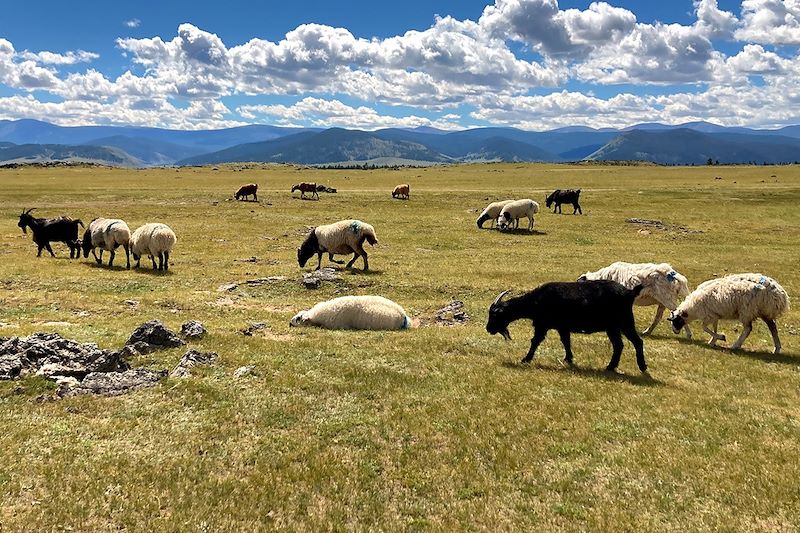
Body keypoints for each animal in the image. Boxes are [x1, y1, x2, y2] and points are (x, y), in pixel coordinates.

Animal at [484, 280, 648, 372]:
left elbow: (535, 341)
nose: (488, 329)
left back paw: (642, 367)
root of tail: (629, 292)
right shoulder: (562, 327)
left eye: (495, 315)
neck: (536, 300)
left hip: (623, 323)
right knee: (620, 345)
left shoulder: (542, 325)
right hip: (614, 327)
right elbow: (566, 341)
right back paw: (611, 367)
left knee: (636, 342)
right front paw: (568, 359)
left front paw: (525, 359)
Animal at [664, 274, 792, 354]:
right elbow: (714, 328)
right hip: (764, 312)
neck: (692, 308)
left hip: (747, 310)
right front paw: (713, 341)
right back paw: (777, 349)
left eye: (676, 321)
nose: (675, 331)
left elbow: (704, 328)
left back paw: (736, 345)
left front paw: (721, 337)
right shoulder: (714, 315)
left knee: (748, 328)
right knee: (773, 327)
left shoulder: (708, 315)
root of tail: (780, 295)